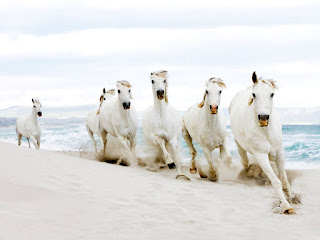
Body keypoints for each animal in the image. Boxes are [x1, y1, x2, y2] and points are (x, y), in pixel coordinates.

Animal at [230, 71, 296, 214]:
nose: (263, 117)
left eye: (272, 94)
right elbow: (276, 182)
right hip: (240, 147)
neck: (266, 131)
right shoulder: (261, 155)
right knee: (245, 162)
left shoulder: (280, 154)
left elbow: (284, 180)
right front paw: (286, 206)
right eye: (254, 95)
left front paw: (291, 199)